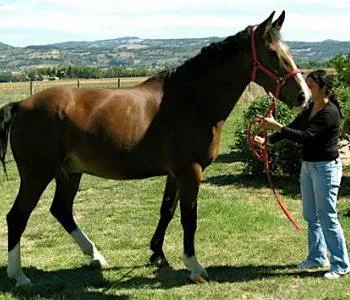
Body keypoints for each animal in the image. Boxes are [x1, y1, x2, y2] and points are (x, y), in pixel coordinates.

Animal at [1, 10, 310, 288]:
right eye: (272, 53)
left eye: (288, 50)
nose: (303, 96)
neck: (192, 101)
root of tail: (20, 105)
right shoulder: (190, 173)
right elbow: (189, 218)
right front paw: (194, 266)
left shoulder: (174, 174)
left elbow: (167, 212)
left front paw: (158, 254)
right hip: (37, 174)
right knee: (17, 216)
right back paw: (19, 276)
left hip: (69, 172)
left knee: (61, 210)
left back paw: (96, 257)